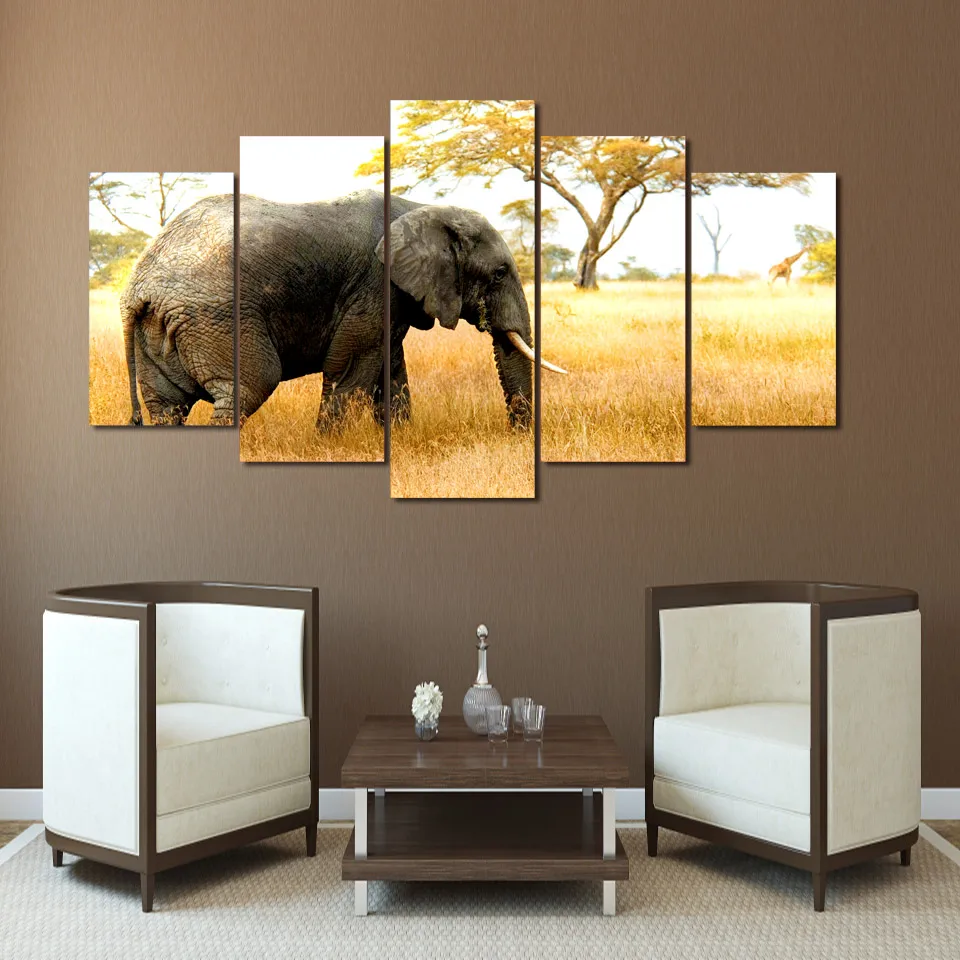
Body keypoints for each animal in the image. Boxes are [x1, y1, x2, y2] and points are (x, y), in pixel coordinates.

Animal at [120, 189, 565, 428]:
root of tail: (137, 288)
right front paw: (328, 444)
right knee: (249, 385)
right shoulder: (374, 285)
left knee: (167, 405)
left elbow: (392, 369)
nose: (516, 436)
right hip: (216, 317)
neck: (419, 208)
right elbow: (350, 368)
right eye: (499, 273)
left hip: (162, 328)